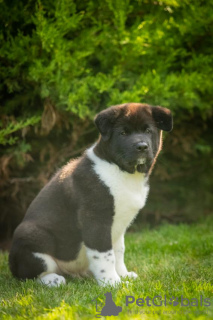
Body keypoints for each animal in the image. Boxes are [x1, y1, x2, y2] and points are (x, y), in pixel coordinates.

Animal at [9, 103, 173, 288]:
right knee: (29, 274)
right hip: (31, 236)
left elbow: (118, 251)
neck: (120, 170)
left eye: (148, 130)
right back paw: (52, 279)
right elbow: (105, 254)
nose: (142, 146)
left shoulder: (118, 226)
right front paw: (112, 282)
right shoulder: (96, 220)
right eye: (123, 133)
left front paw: (123, 275)